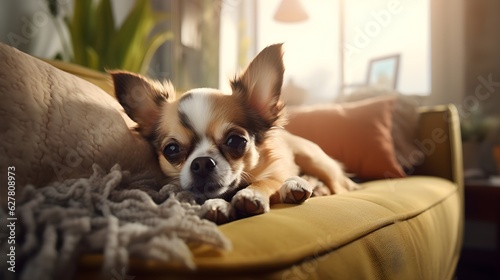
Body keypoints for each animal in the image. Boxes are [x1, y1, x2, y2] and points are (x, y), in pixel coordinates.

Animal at [111, 43, 358, 223]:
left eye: (235, 141)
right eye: (171, 149)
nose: (202, 162)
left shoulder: (274, 173)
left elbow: (265, 182)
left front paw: (251, 194)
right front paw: (216, 205)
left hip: (313, 158)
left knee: (340, 187)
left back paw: (304, 186)